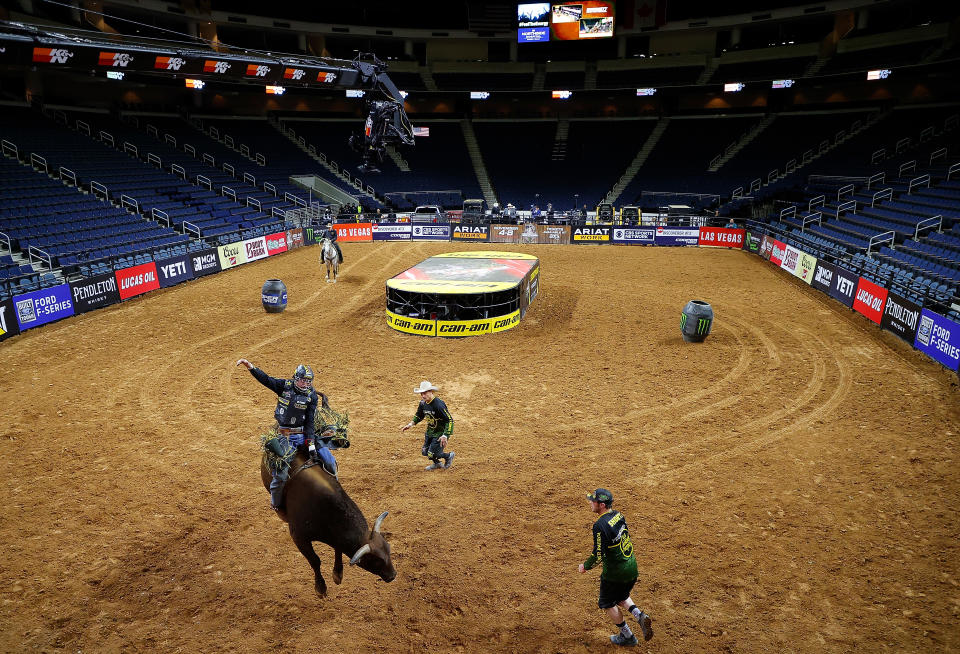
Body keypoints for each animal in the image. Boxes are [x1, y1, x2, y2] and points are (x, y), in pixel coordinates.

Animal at [260, 452, 396, 600]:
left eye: (389, 550)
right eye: (375, 560)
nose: (393, 575)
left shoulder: (336, 537)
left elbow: (338, 549)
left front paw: (337, 574)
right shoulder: (299, 538)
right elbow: (315, 560)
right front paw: (320, 588)